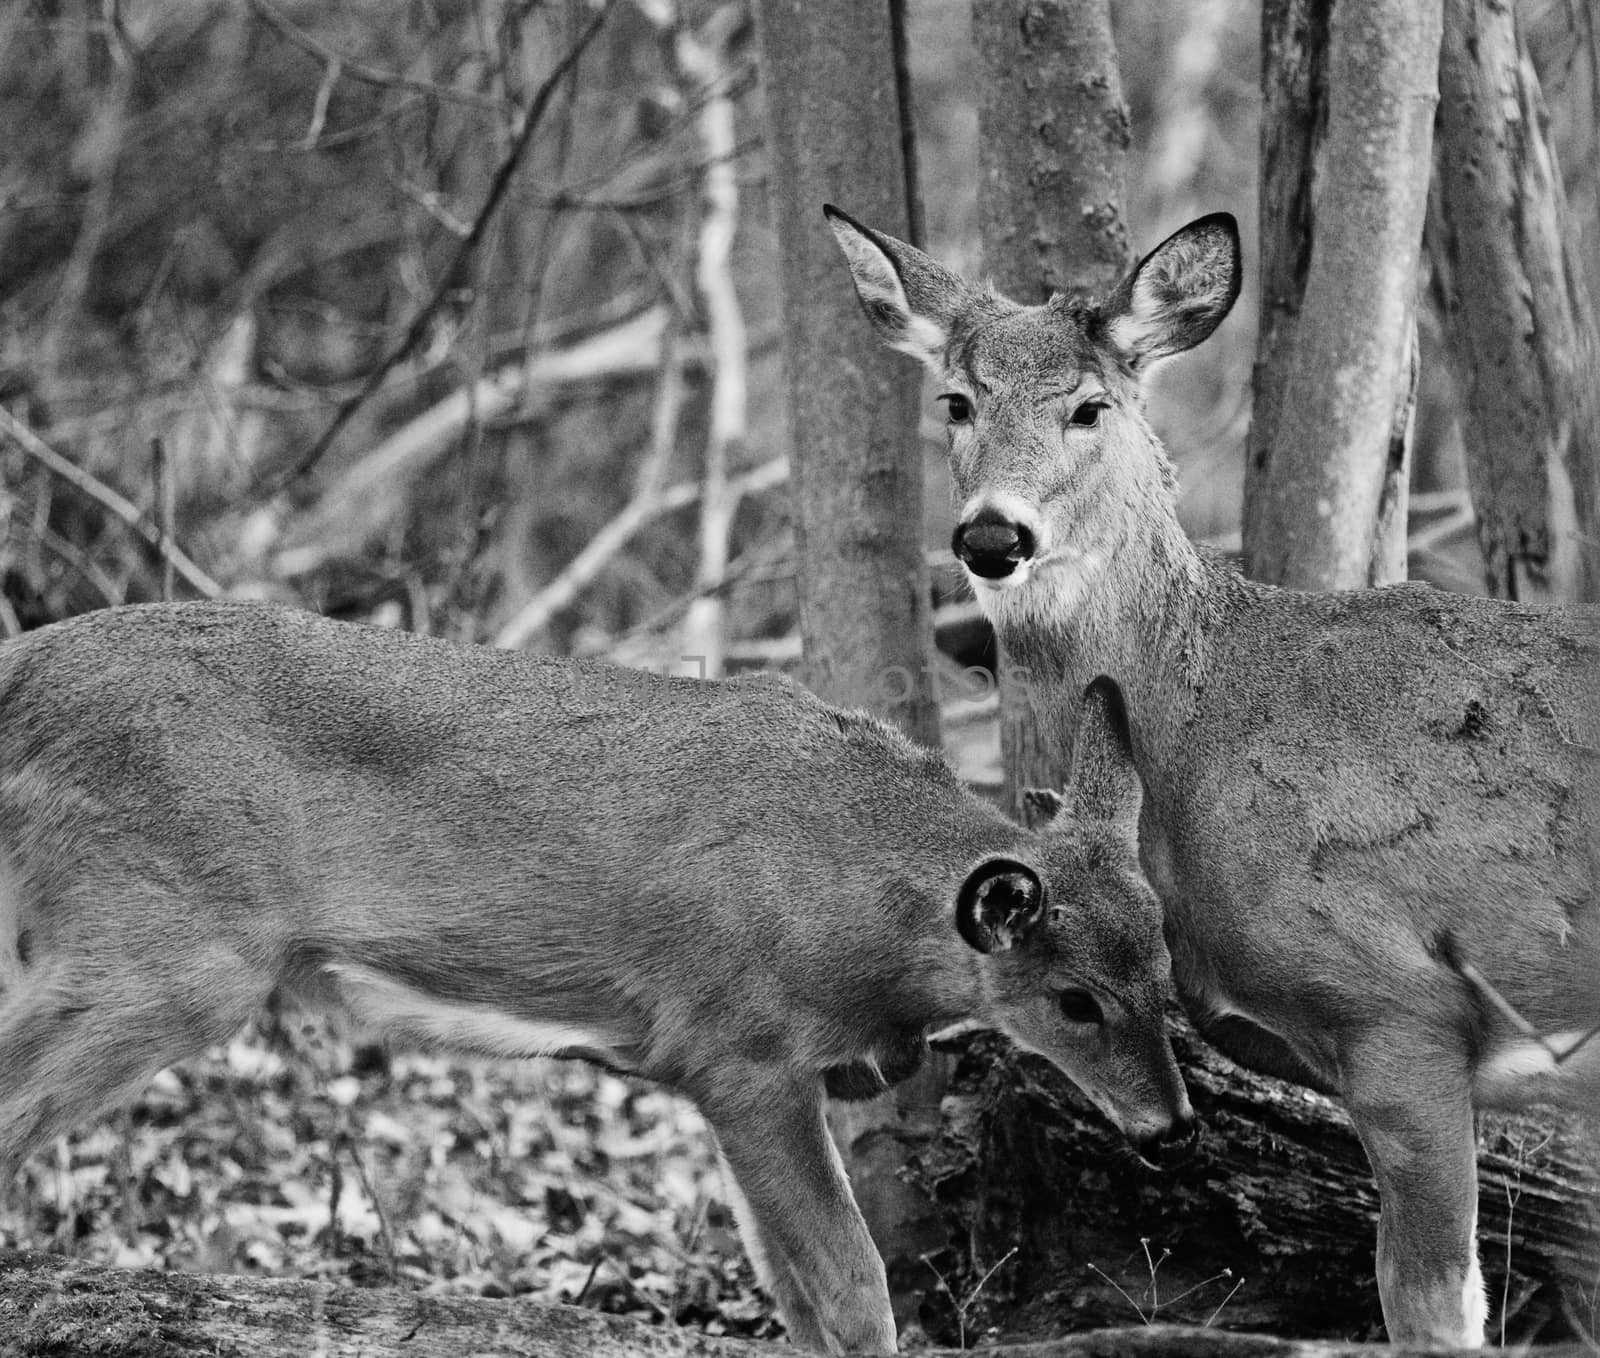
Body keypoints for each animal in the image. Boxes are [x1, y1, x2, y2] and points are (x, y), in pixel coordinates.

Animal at [0, 598, 1196, 1350]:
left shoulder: (734, 1078)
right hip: (171, 944)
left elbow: (790, 1289)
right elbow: (853, 1286)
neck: (848, 892)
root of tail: (20, 674)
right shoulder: (738, 1052)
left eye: (1165, 967)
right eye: (1075, 1001)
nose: (1175, 1123)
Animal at [825, 203, 1600, 1343]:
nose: (991, 534)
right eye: (957, 401)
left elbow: (1429, 1300)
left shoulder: (1403, 1009)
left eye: (1089, 406)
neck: (1201, 725)